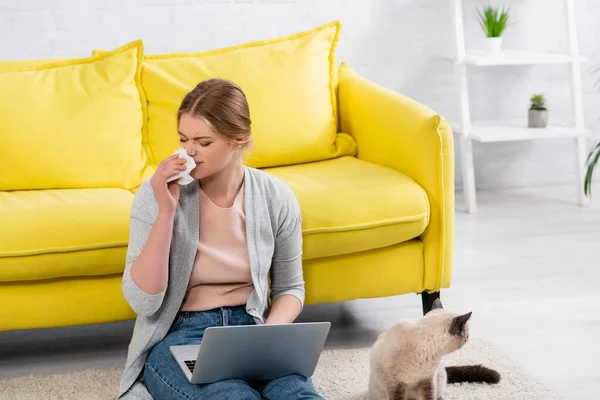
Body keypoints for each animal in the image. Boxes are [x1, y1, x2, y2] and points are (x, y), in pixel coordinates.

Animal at [368, 298, 500, 398]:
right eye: (467, 334)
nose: (468, 338)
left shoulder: (427, 381)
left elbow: (429, 397)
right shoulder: (395, 385)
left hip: (439, 379)